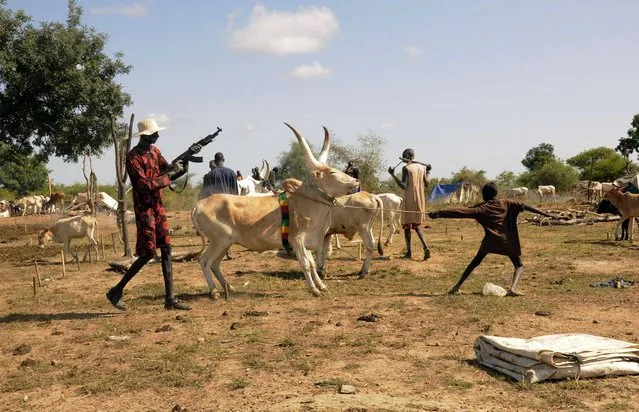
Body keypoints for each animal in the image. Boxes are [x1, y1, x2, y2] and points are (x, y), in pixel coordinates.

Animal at [190, 122, 360, 296]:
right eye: (332, 172)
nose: (356, 181)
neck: (307, 201)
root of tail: (200, 204)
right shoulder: (297, 240)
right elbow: (305, 264)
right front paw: (314, 289)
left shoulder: (306, 242)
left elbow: (312, 263)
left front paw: (321, 285)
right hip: (219, 241)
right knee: (204, 261)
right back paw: (214, 291)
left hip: (225, 243)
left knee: (215, 264)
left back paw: (228, 287)